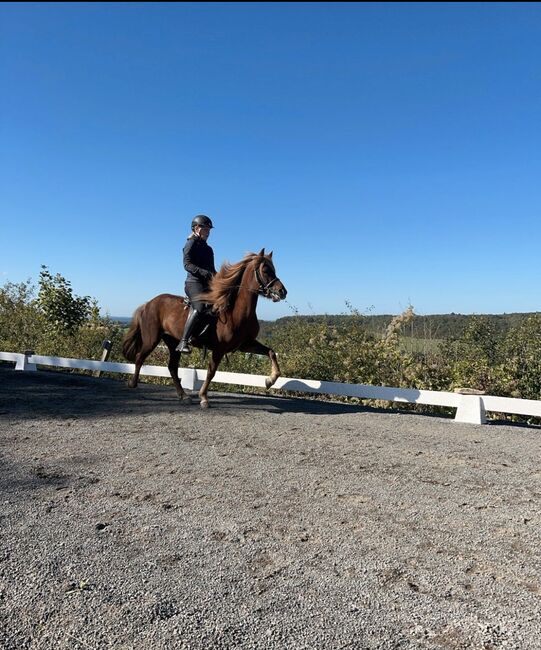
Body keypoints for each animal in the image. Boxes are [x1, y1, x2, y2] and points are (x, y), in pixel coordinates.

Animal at [120, 251, 284, 408]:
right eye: (266, 270)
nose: (282, 291)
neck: (236, 312)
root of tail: (148, 303)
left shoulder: (245, 344)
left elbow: (270, 352)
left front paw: (270, 380)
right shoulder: (219, 349)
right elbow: (211, 372)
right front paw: (204, 397)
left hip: (173, 343)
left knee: (172, 367)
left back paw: (183, 396)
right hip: (151, 339)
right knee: (140, 357)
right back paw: (132, 384)